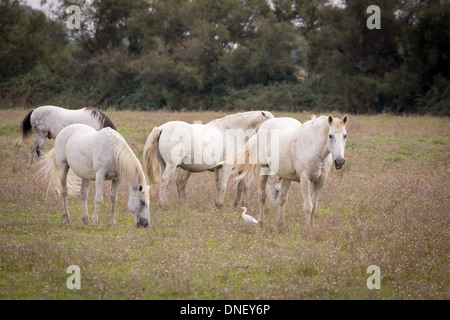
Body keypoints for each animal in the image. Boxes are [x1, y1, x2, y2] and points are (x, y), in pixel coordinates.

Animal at [142, 111, 274, 209]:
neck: (231, 132)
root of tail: (162, 128)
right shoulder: (227, 166)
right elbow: (224, 185)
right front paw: (221, 205)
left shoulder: (218, 168)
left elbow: (218, 185)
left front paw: (217, 204)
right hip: (171, 166)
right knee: (165, 181)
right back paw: (163, 204)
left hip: (163, 165)